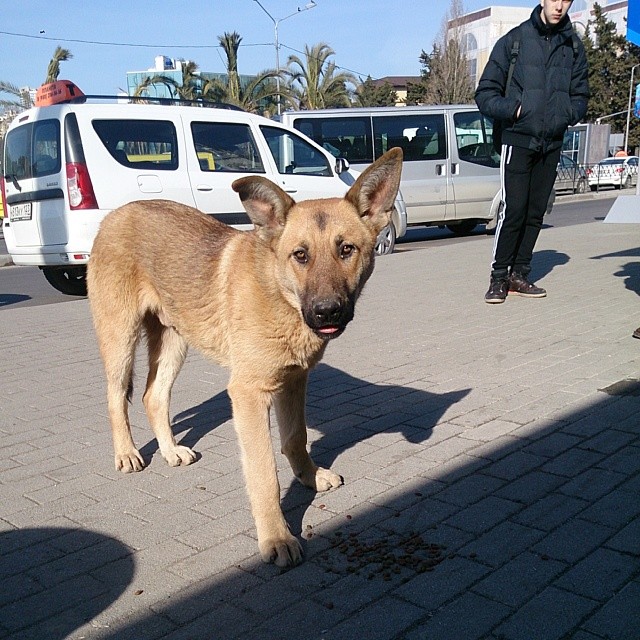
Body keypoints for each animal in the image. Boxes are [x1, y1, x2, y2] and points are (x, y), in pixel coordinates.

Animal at [87, 149, 402, 564]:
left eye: (346, 249)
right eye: (300, 255)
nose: (327, 313)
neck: (280, 295)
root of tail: (115, 214)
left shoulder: (293, 381)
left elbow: (295, 438)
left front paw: (309, 476)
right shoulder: (249, 395)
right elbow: (264, 473)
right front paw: (276, 536)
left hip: (174, 341)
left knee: (152, 395)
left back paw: (170, 451)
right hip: (120, 338)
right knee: (114, 397)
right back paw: (126, 453)